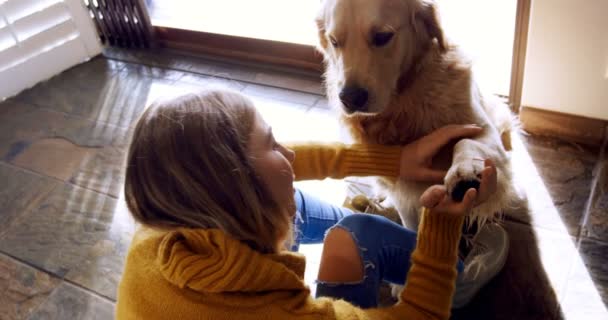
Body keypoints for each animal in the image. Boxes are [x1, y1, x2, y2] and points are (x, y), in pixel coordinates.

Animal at [316, 0, 520, 236]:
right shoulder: (403, 192)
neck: (406, 100)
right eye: (334, 41)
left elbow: (465, 140)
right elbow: (410, 223)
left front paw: (466, 170)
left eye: (382, 36)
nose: (349, 98)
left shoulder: (485, 130)